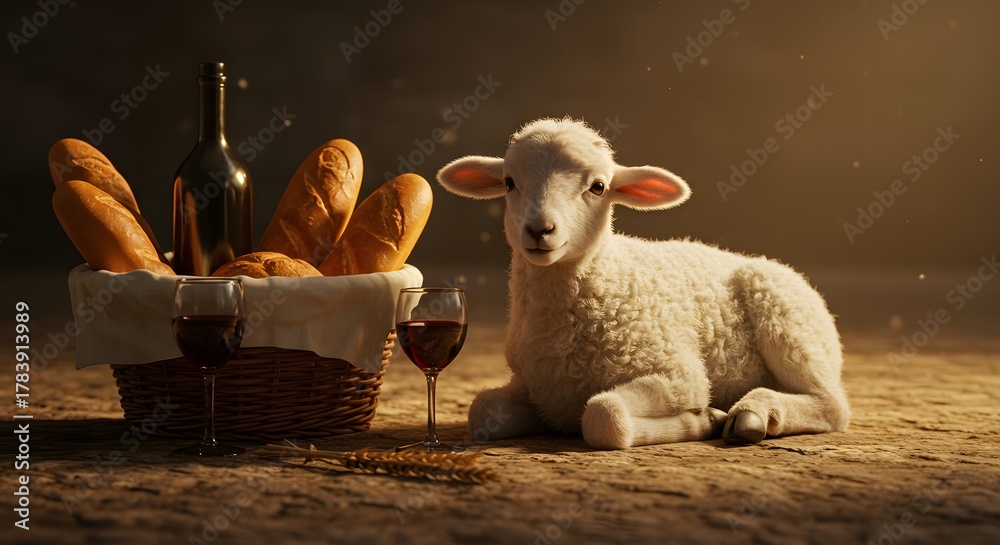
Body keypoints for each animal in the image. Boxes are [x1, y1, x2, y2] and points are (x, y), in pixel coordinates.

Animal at [436, 117, 849, 449]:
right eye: (509, 183)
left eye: (598, 187)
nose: (539, 230)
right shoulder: (539, 390)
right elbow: (481, 410)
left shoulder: (681, 375)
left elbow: (603, 415)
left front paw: (705, 419)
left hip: (788, 323)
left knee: (832, 404)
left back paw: (753, 413)